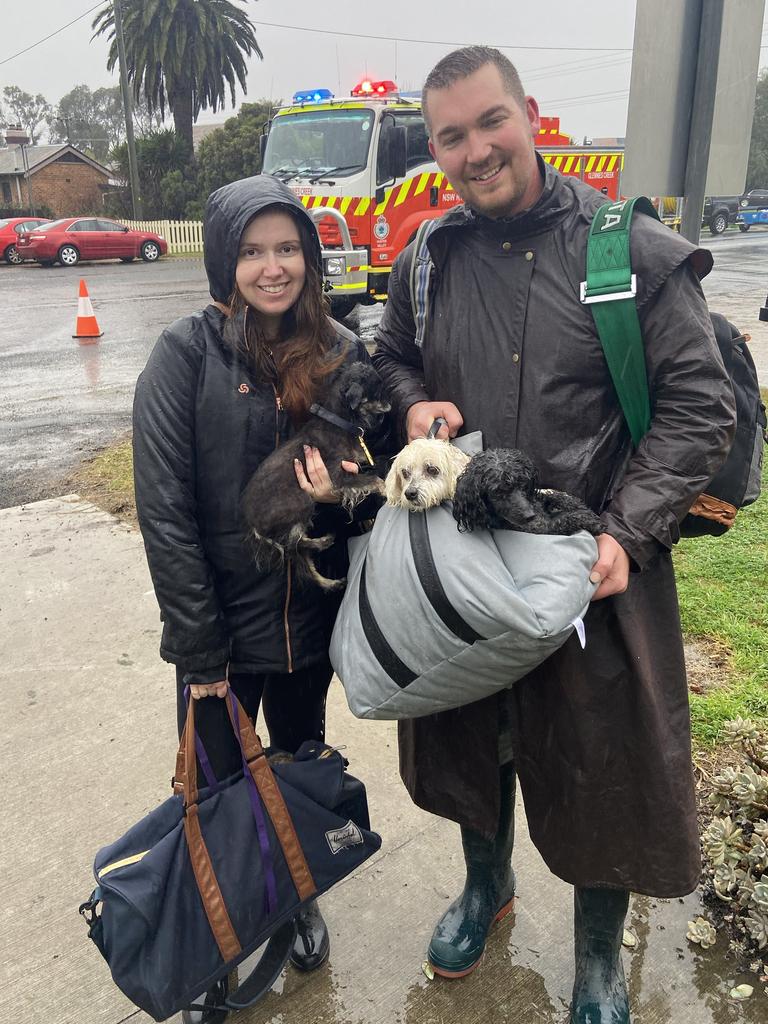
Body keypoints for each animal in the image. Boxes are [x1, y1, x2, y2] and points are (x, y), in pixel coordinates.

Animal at [243, 360, 391, 589]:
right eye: (378, 391)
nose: (390, 404)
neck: (339, 422)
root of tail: (253, 524)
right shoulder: (338, 477)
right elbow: (374, 479)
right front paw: (387, 490)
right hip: (301, 501)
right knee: (293, 546)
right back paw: (321, 544)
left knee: (300, 555)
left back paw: (330, 578)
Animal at [450, 452, 606, 540]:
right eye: (497, 492)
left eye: (523, 483)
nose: (530, 516)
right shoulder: (543, 527)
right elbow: (566, 518)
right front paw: (592, 520)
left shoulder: (537, 500)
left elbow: (556, 497)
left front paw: (578, 505)